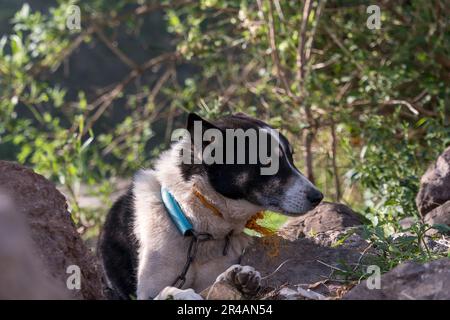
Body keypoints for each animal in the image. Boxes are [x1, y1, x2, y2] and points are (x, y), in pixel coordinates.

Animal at [98, 113, 324, 300]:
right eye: (268, 162)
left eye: (291, 158)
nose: (319, 197)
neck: (198, 232)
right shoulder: (147, 292)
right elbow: (170, 290)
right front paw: (184, 294)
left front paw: (236, 278)